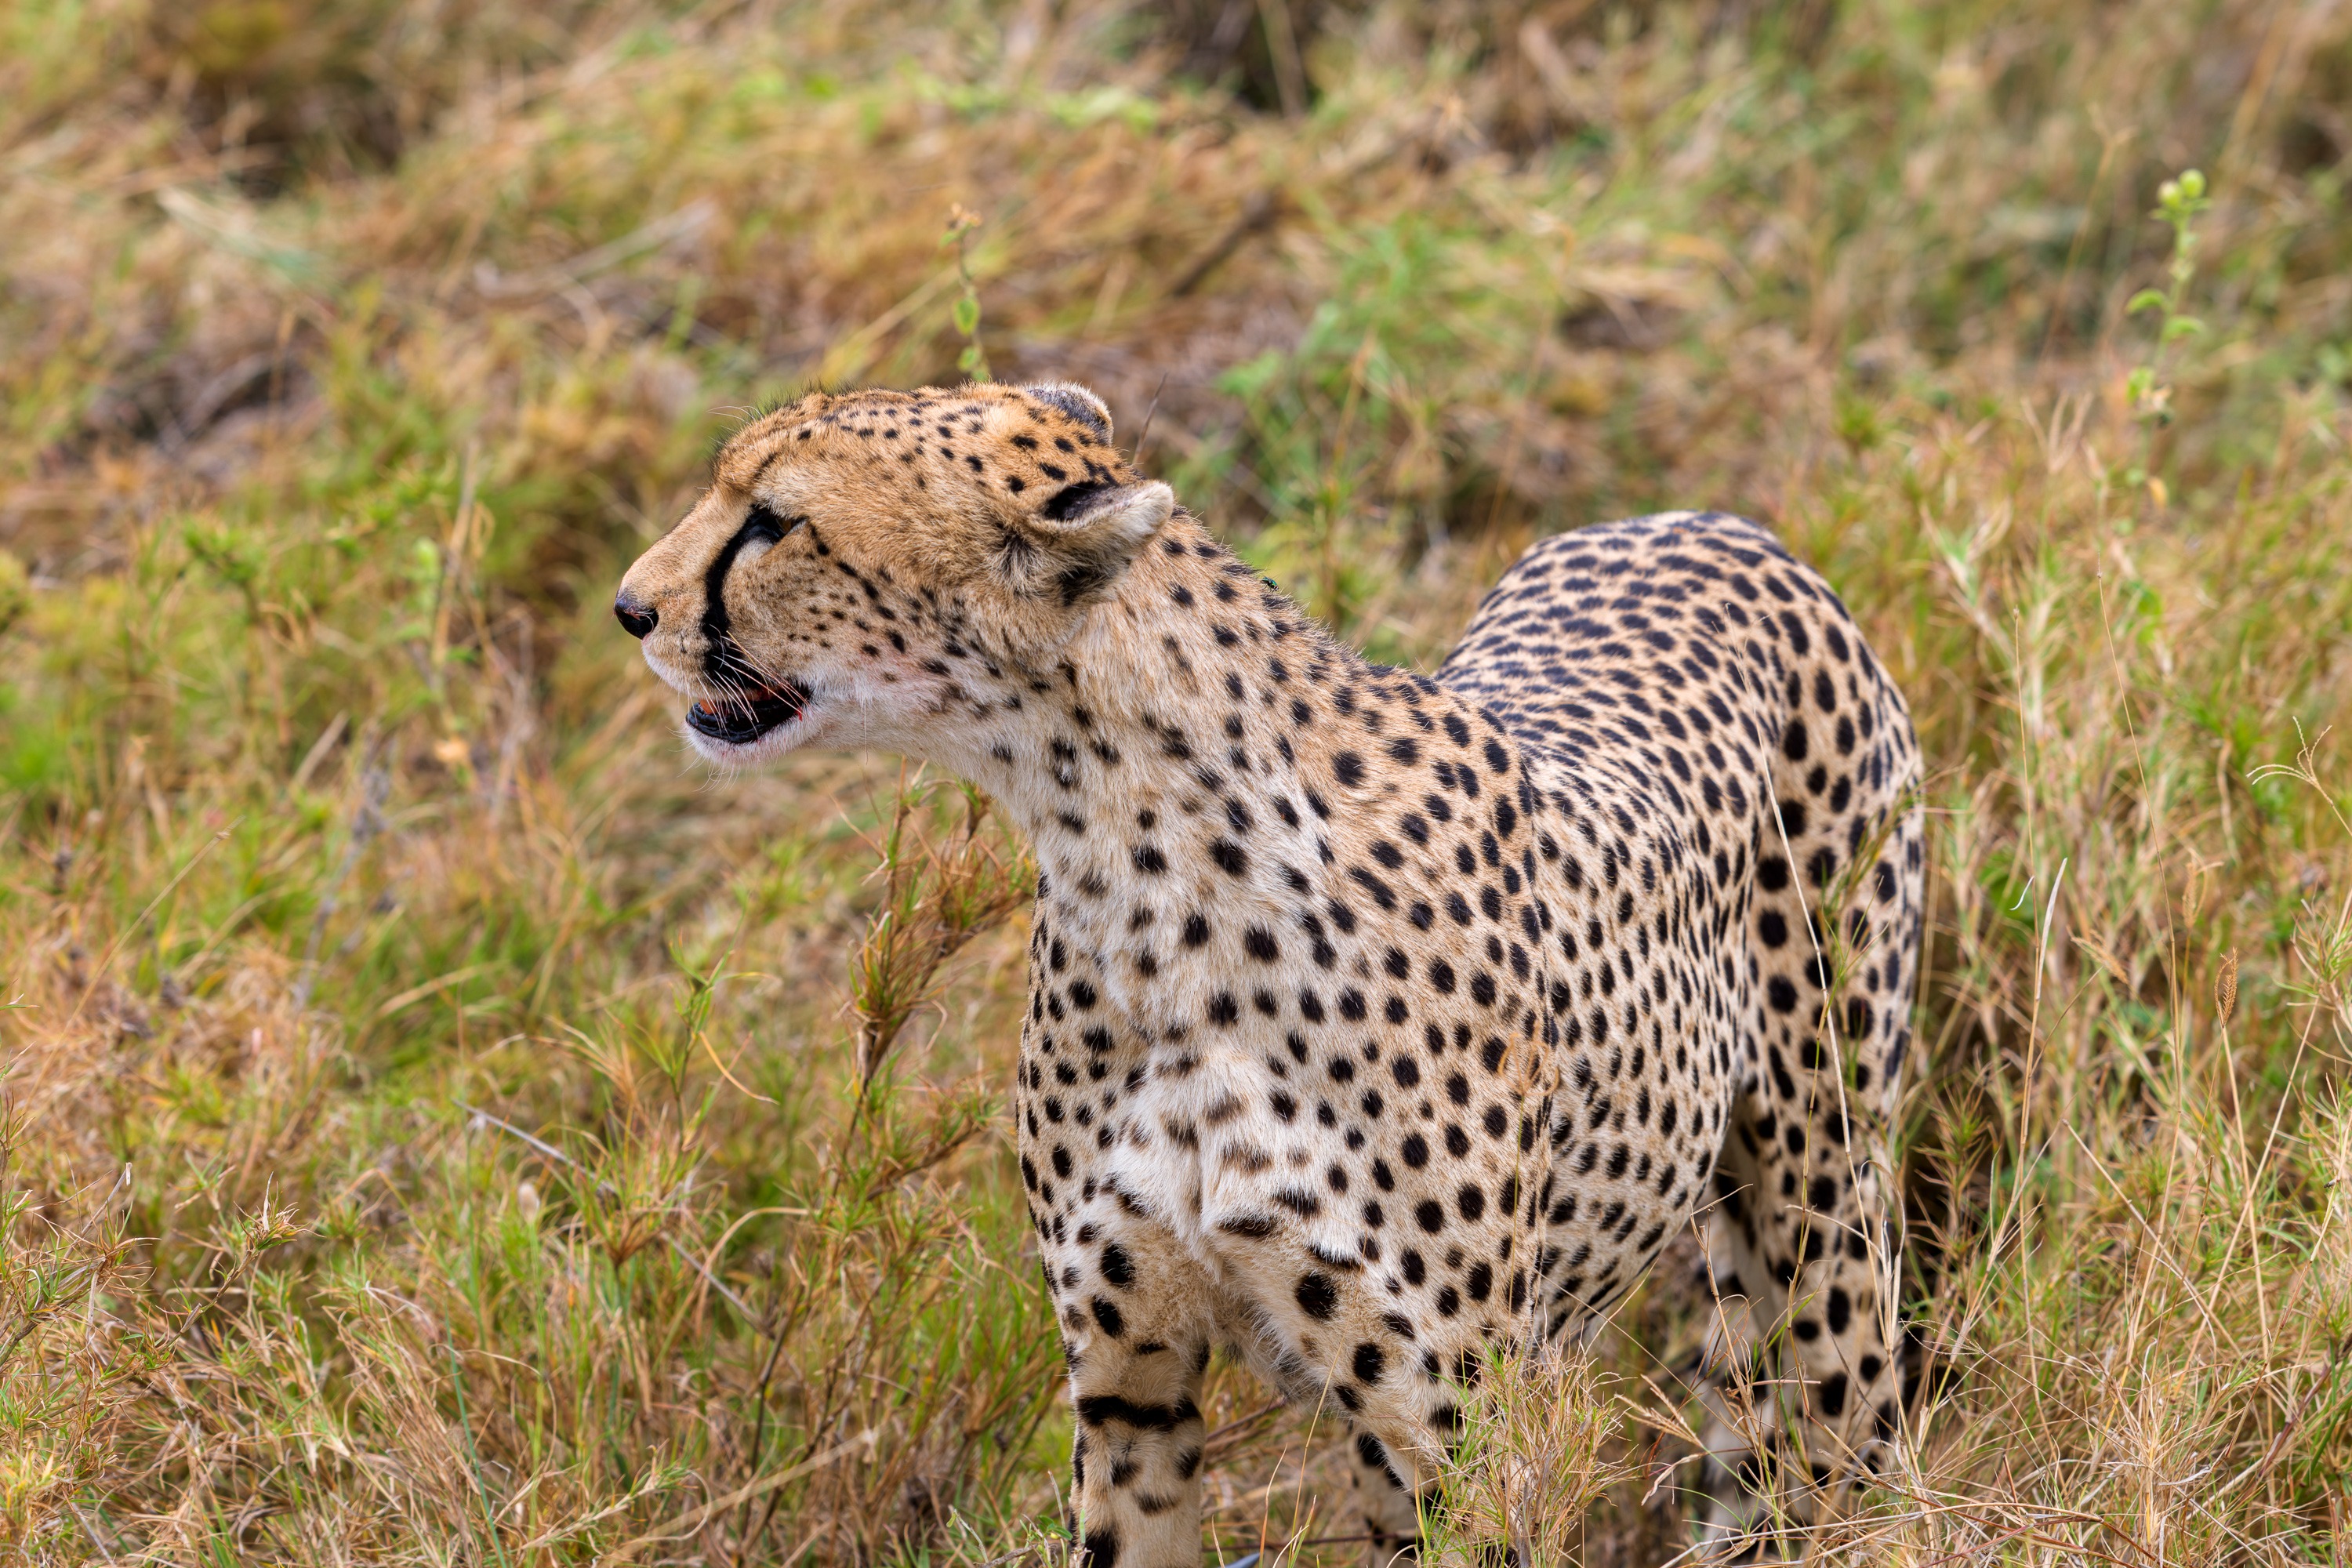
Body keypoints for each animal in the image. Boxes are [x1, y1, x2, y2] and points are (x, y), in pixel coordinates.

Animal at [615, 379, 1926, 1564]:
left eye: (776, 522)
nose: (631, 608)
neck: (1135, 862)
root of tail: (1697, 520)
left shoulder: (1460, 1422)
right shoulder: (1129, 1380)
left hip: (1826, 1205)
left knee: (1850, 1444)